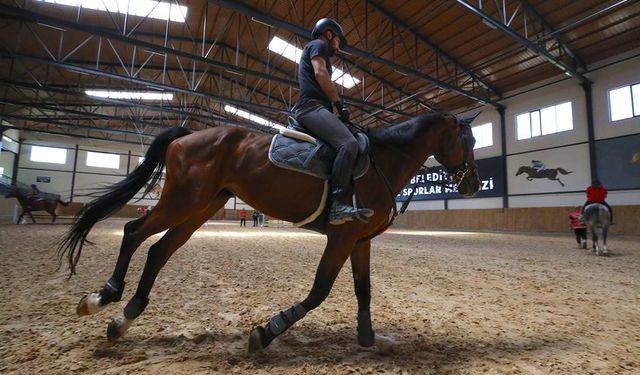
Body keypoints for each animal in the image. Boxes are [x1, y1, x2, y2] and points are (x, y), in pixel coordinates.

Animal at [58, 113, 480, 354]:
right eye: (469, 140)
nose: (473, 185)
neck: (382, 162)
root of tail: (187, 135)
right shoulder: (342, 238)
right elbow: (319, 290)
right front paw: (266, 332)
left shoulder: (360, 241)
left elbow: (364, 290)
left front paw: (369, 339)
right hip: (182, 201)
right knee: (133, 232)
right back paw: (103, 297)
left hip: (200, 207)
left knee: (159, 251)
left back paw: (123, 318)